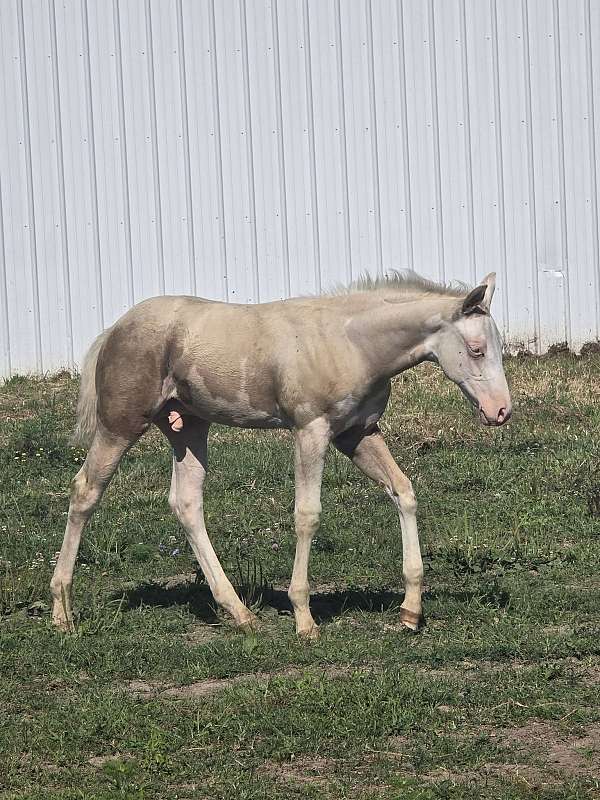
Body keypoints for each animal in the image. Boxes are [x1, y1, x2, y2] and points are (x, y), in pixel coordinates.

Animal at [50, 271, 511, 638]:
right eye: (476, 349)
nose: (501, 411)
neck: (351, 343)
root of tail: (114, 328)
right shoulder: (310, 431)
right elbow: (307, 515)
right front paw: (304, 617)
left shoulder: (358, 433)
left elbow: (404, 491)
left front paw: (410, 611)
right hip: (120, 425)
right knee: (85, 490)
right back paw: (62, 611)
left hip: (189, 427)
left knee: (186, 502)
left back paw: (239, 612)